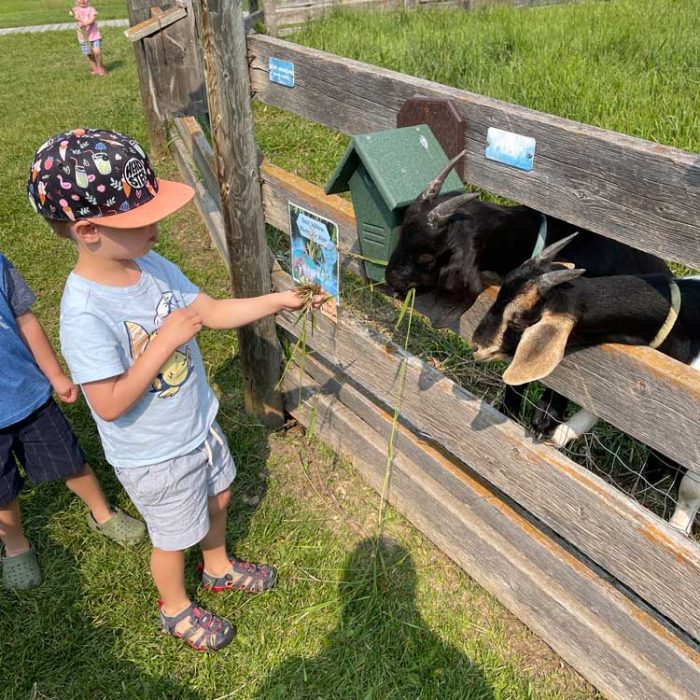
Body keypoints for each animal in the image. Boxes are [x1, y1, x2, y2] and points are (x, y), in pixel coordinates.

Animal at [470, 235, 700, 536]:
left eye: (519, 319)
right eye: (499, 295)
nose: (477, 345)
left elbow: (690, 489)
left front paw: (678, 531)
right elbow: (594, 411)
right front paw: (555, 438)